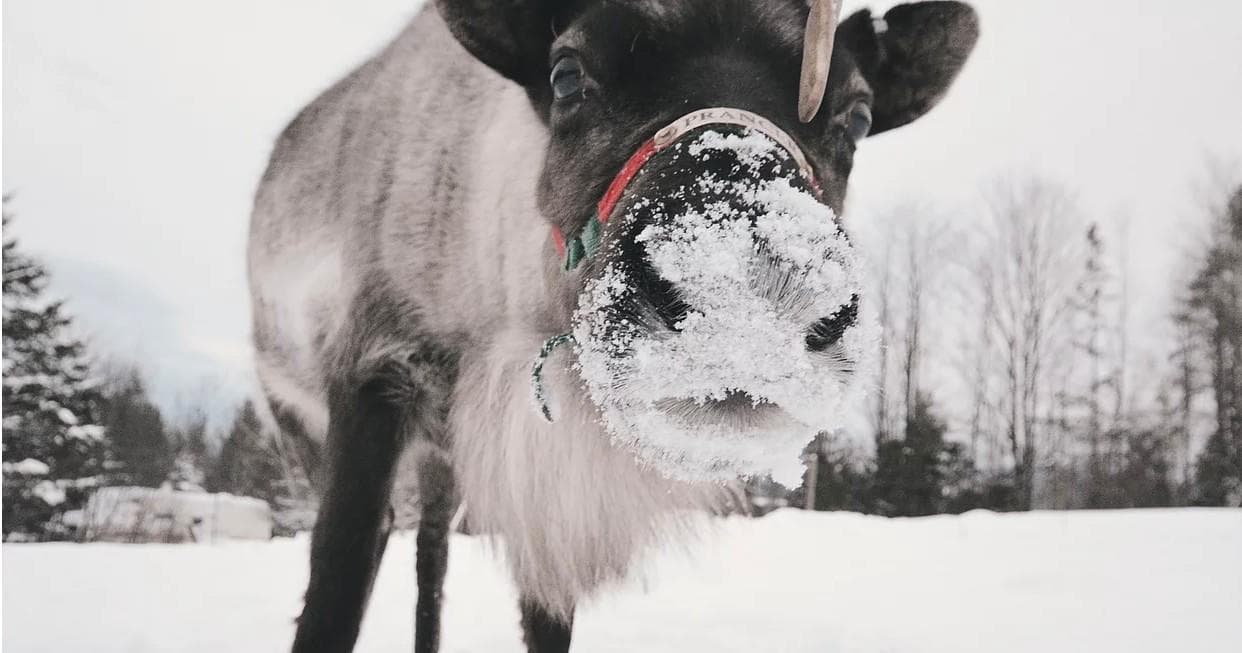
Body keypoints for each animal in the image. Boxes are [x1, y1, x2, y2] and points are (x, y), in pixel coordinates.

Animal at [247, 0, 979, 651]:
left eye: (858, 116)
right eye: (566, 73)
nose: (745, 303)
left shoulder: (552, 480)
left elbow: (547, 620)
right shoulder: (371, 376)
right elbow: (333, 595)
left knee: (431, 553)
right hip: (304, 426)